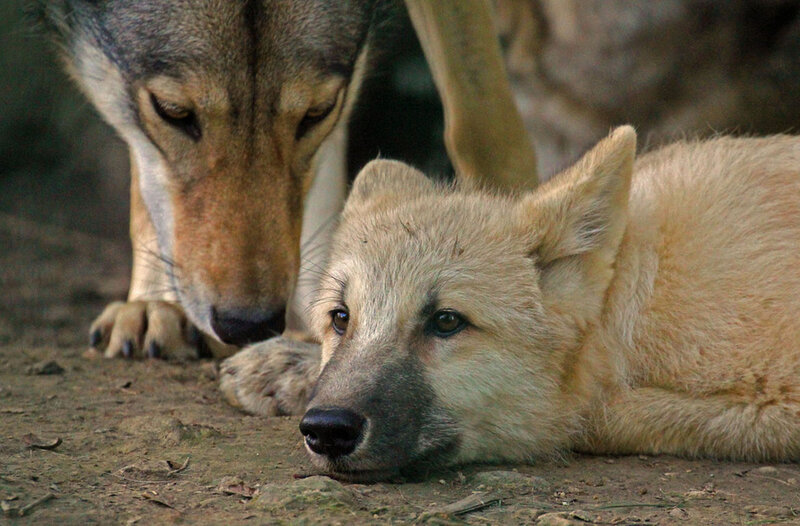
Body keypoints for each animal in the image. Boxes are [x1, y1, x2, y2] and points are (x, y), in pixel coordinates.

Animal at [225, 126, 800, 479]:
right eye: (340, 318)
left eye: (446, 322)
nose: (327, 429)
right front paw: (282, 364)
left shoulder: (777, 401)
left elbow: (592, 415)